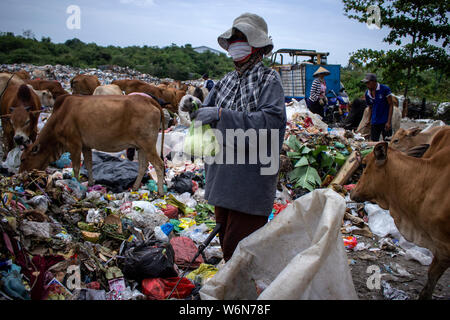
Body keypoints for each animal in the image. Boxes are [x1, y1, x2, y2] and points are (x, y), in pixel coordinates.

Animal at [19, 94, 165, 195]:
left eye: (23, 159)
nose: (19, 175)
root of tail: (149, 100)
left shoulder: (74, 144)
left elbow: (76, 167)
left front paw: (76, 184)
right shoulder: (85, 146)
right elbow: (88, 164)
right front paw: (89, 183)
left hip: (148, 145)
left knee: (159, 164)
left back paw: (160, 192)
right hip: (141, 147)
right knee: (143, 166)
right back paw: (135, 187)